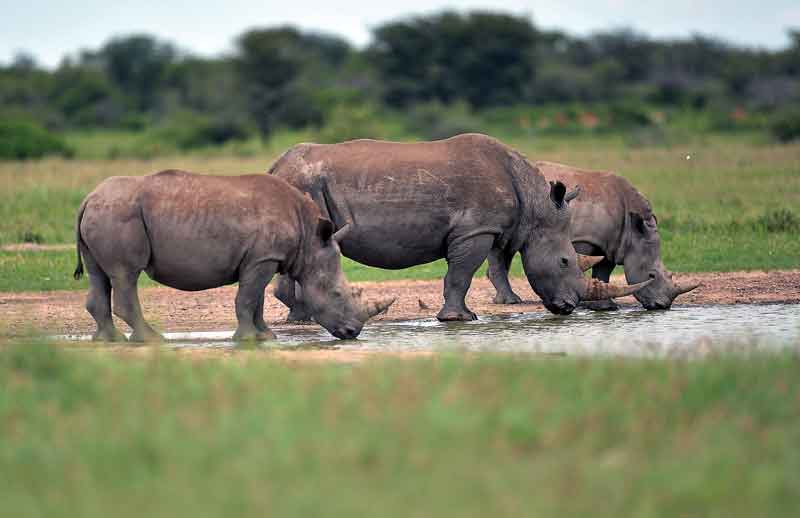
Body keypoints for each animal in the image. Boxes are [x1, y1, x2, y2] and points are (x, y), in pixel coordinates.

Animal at [73, 170, 394, 342]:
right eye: (338, 294)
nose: (353, 332)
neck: (310, 242)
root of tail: (87, 198)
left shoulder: (263, 258)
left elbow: (257, 299)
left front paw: (266, 337)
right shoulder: (263, 259)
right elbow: (248, 298)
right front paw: (248, 339)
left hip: (105, 212)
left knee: (99, 274)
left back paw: (108, 341)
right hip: (118, 214)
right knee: (126, 275)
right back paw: (152, 339)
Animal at [268, 133, 651, 321]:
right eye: (565, 262)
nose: (569, 307)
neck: (534, 204)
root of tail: (275, 167)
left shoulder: (479, 230)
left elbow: (459, 275)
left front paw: (459, 318)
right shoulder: (476, 230)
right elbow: (460, 275)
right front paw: (461, 320)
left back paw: (301, 320)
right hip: (305, 184)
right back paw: (305, 319)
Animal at [488, 161, 699, 310]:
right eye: (651, 275)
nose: (662, 306)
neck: (633, 230)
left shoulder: (613, 242)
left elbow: (604, 269)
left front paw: (606, 307)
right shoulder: (582, 238)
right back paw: (511, 302)